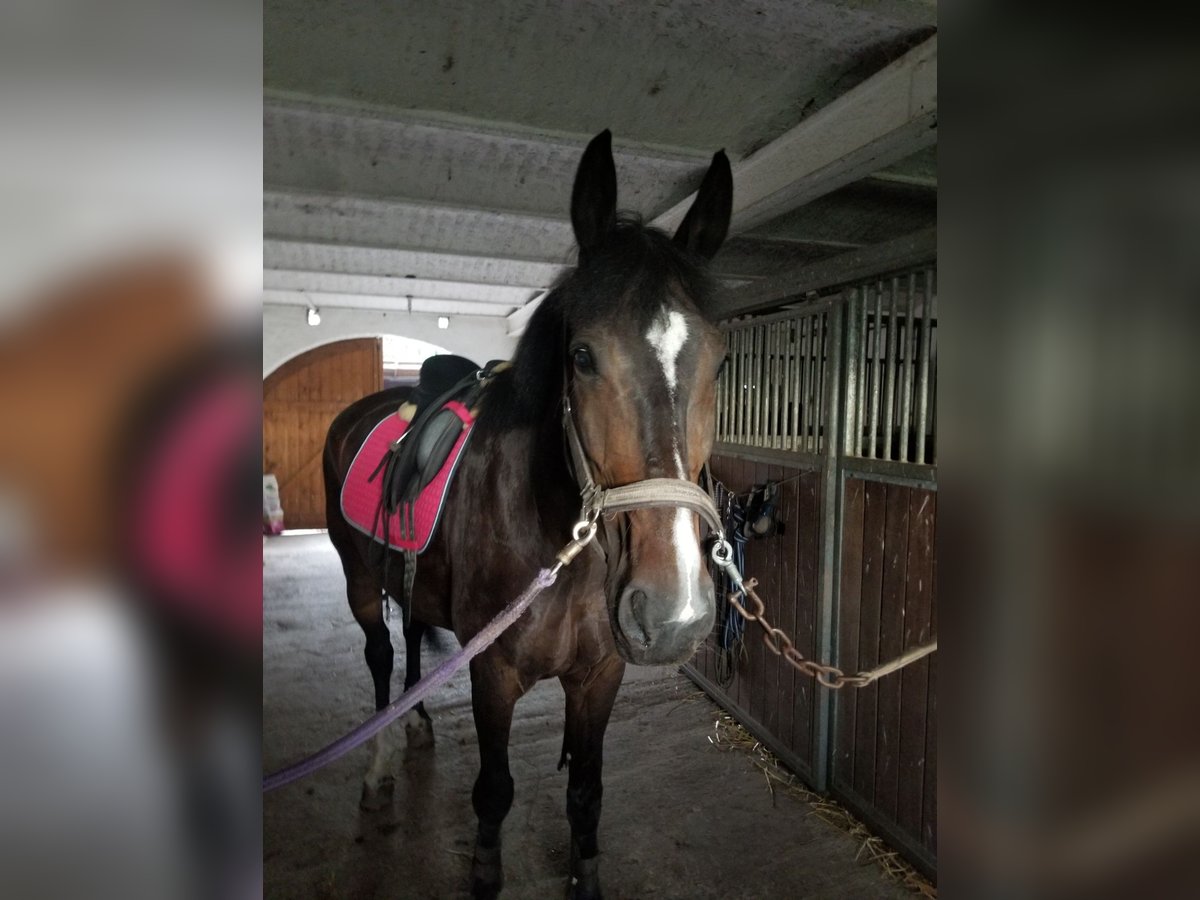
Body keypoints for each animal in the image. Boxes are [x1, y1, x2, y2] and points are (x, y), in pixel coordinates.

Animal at [319, 128, 729, 900]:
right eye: (583, 356)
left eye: (719, 363)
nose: (673, 615)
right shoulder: (494, 675)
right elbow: (494, 792)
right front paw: (485, 873)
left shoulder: (600, 675)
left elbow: (586, 793)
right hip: (358, 577)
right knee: (382, 656)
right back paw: (380, 765)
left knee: (412, 638)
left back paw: (417, 722)